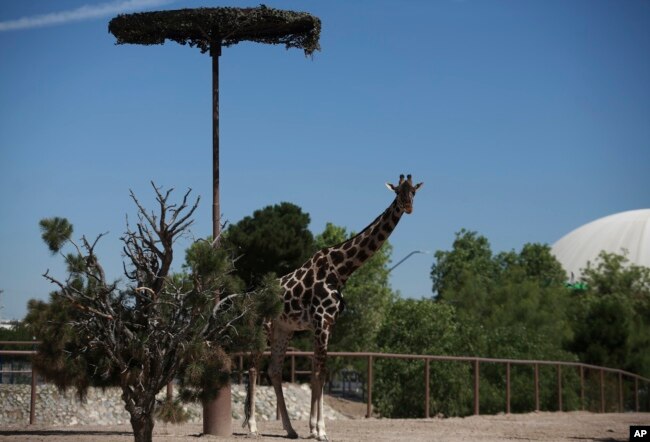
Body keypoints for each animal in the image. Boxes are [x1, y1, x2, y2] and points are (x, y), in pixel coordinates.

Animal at [243, 174, 420, 440]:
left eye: (414, 192)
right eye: (398, 192)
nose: (408, 206)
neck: (341, 270)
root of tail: (251, 299)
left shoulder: (327, 323)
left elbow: (319, 373)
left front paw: (313, 428)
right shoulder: (320, 321)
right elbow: (320, 373)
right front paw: (320, 430)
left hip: (283, 329)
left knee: (273, 370)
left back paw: (290, 429)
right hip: (261, 325)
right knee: (253, 368)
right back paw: (253, 427)